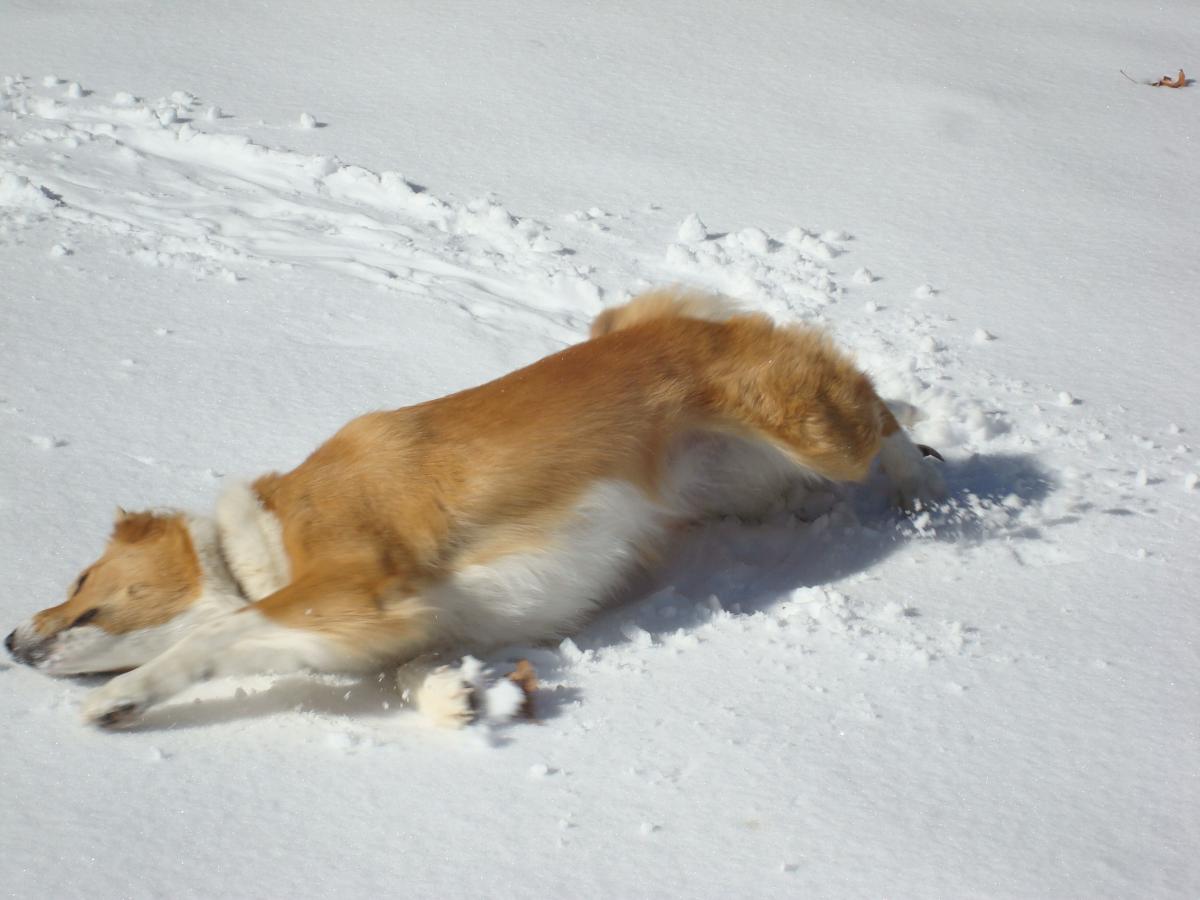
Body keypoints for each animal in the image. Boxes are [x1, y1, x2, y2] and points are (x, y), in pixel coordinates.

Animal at [4, 289, 944, 728]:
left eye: (82, 576)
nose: (11, 641)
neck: (254, 552)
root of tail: (674, 318)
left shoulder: (355, 585)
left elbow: (207, 638)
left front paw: (123, 697)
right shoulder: (401, 621)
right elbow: (414, 670)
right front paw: (459, 699)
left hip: (811, 427)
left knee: (883, 417)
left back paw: (931, 495)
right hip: (748, 480)